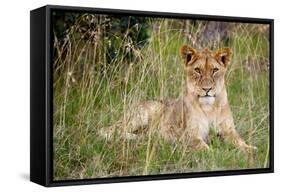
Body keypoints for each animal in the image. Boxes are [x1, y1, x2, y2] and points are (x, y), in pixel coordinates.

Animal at [99, 44, 258, 152]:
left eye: (215, 70)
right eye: (197, 70)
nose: (207, 89)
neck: (209, 107)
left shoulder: (228, 130)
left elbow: (239, 141)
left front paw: (251, 149)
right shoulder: (190, 134)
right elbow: (203, 147)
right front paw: (214, 152)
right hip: (141, 115)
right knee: (107, 130)